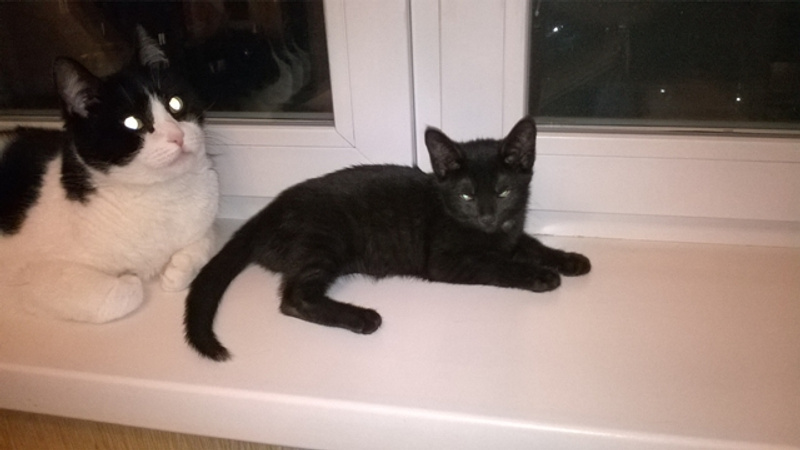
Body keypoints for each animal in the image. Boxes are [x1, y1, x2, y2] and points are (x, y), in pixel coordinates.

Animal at [0, 28, 219, 323]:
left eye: (175, 103)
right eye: (132, 122)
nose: (178, 136)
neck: (162, 196)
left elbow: (207, 239)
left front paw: (178, 269)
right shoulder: (33, 277)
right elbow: (128, 293)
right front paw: (131, 278)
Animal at [184, 116, 590, 361]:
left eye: (504, 192)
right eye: (467, 195)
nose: (487, 216)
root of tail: (266, 212)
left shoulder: (510, 234)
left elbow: (531, 245)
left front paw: (570, 259)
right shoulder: (447, 262)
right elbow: (499, 266)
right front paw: (540, 276)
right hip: (324, 240)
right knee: (294, 298)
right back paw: (362, 317)